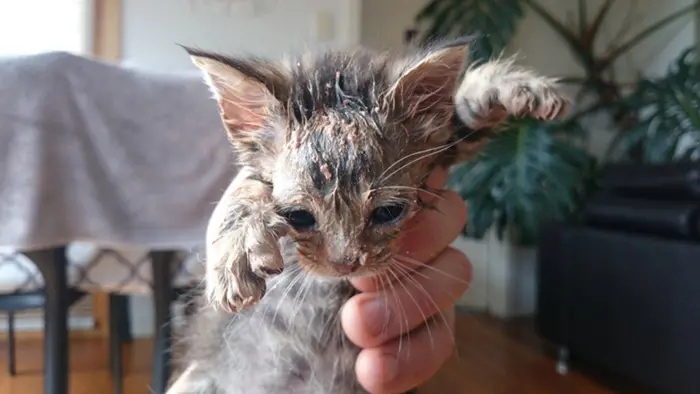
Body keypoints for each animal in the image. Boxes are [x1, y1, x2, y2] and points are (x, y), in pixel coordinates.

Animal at [168, 37, 568, 394]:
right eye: (298, 217)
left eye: (388, 212)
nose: (346, 262)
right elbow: (248, 185)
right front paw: (236, 252)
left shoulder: (441, 148)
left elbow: (462, 115)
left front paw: (516, 87)